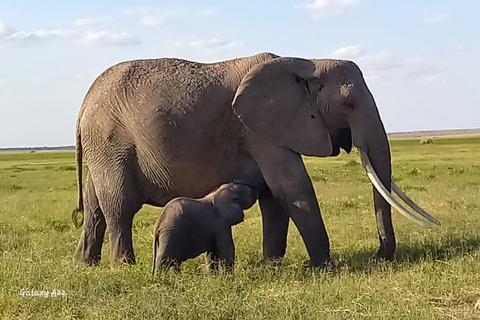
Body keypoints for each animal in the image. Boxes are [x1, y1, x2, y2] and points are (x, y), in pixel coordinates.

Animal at [72, 52, 438, 268]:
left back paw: (84, 265)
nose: (380, 256)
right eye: (348, 105)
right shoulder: (260, 129)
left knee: (94, 206)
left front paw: (272, 264)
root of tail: (83, 104)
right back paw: (123, 267)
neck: (306, 61)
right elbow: (293, 188)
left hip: (101, 148)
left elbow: (275, 197)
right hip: (112, 143)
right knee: (119, 207)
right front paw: (325, 268)